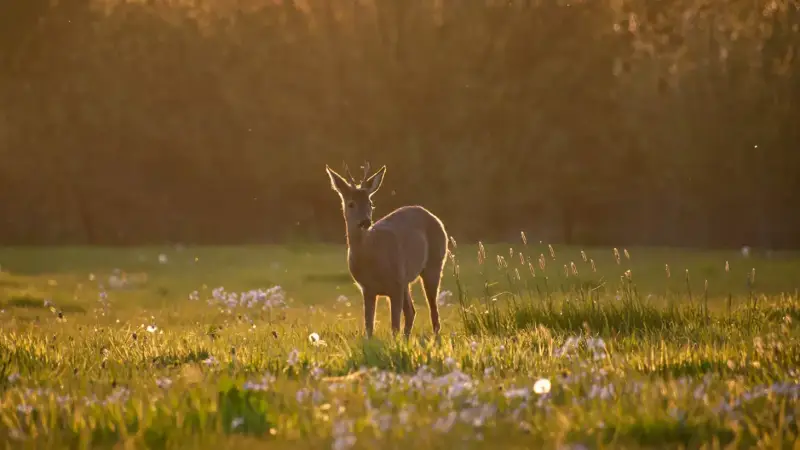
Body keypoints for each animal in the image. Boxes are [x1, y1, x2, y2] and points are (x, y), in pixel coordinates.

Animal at [325, 162, 449, 339]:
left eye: (370, 203)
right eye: (351, 203)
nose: (365, 221)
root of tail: (433, 216)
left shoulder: (395, 284)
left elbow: (394, 326)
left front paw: (395, 344)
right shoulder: (367, 289)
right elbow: (369, 327)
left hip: (434, 263)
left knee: (433, 311)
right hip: (406, 281)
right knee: (411, 312)